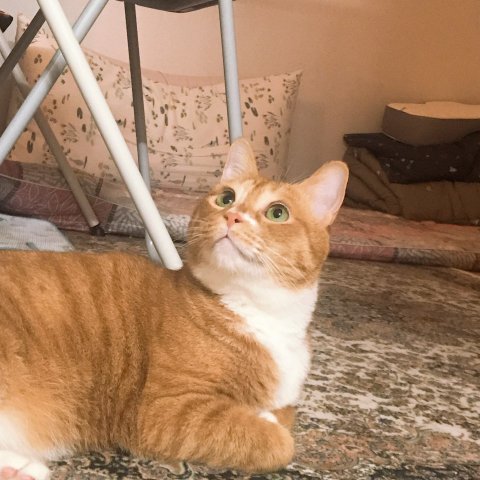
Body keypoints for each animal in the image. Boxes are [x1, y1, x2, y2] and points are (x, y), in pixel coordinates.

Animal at [0, 138, 348, 480]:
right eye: (227, 197)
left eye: (278, 213)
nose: (232, 216)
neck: (259, 312)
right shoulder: (165, 410)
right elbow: (278, 442)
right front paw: (267, 424)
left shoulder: (283, 399)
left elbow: (284, 415)